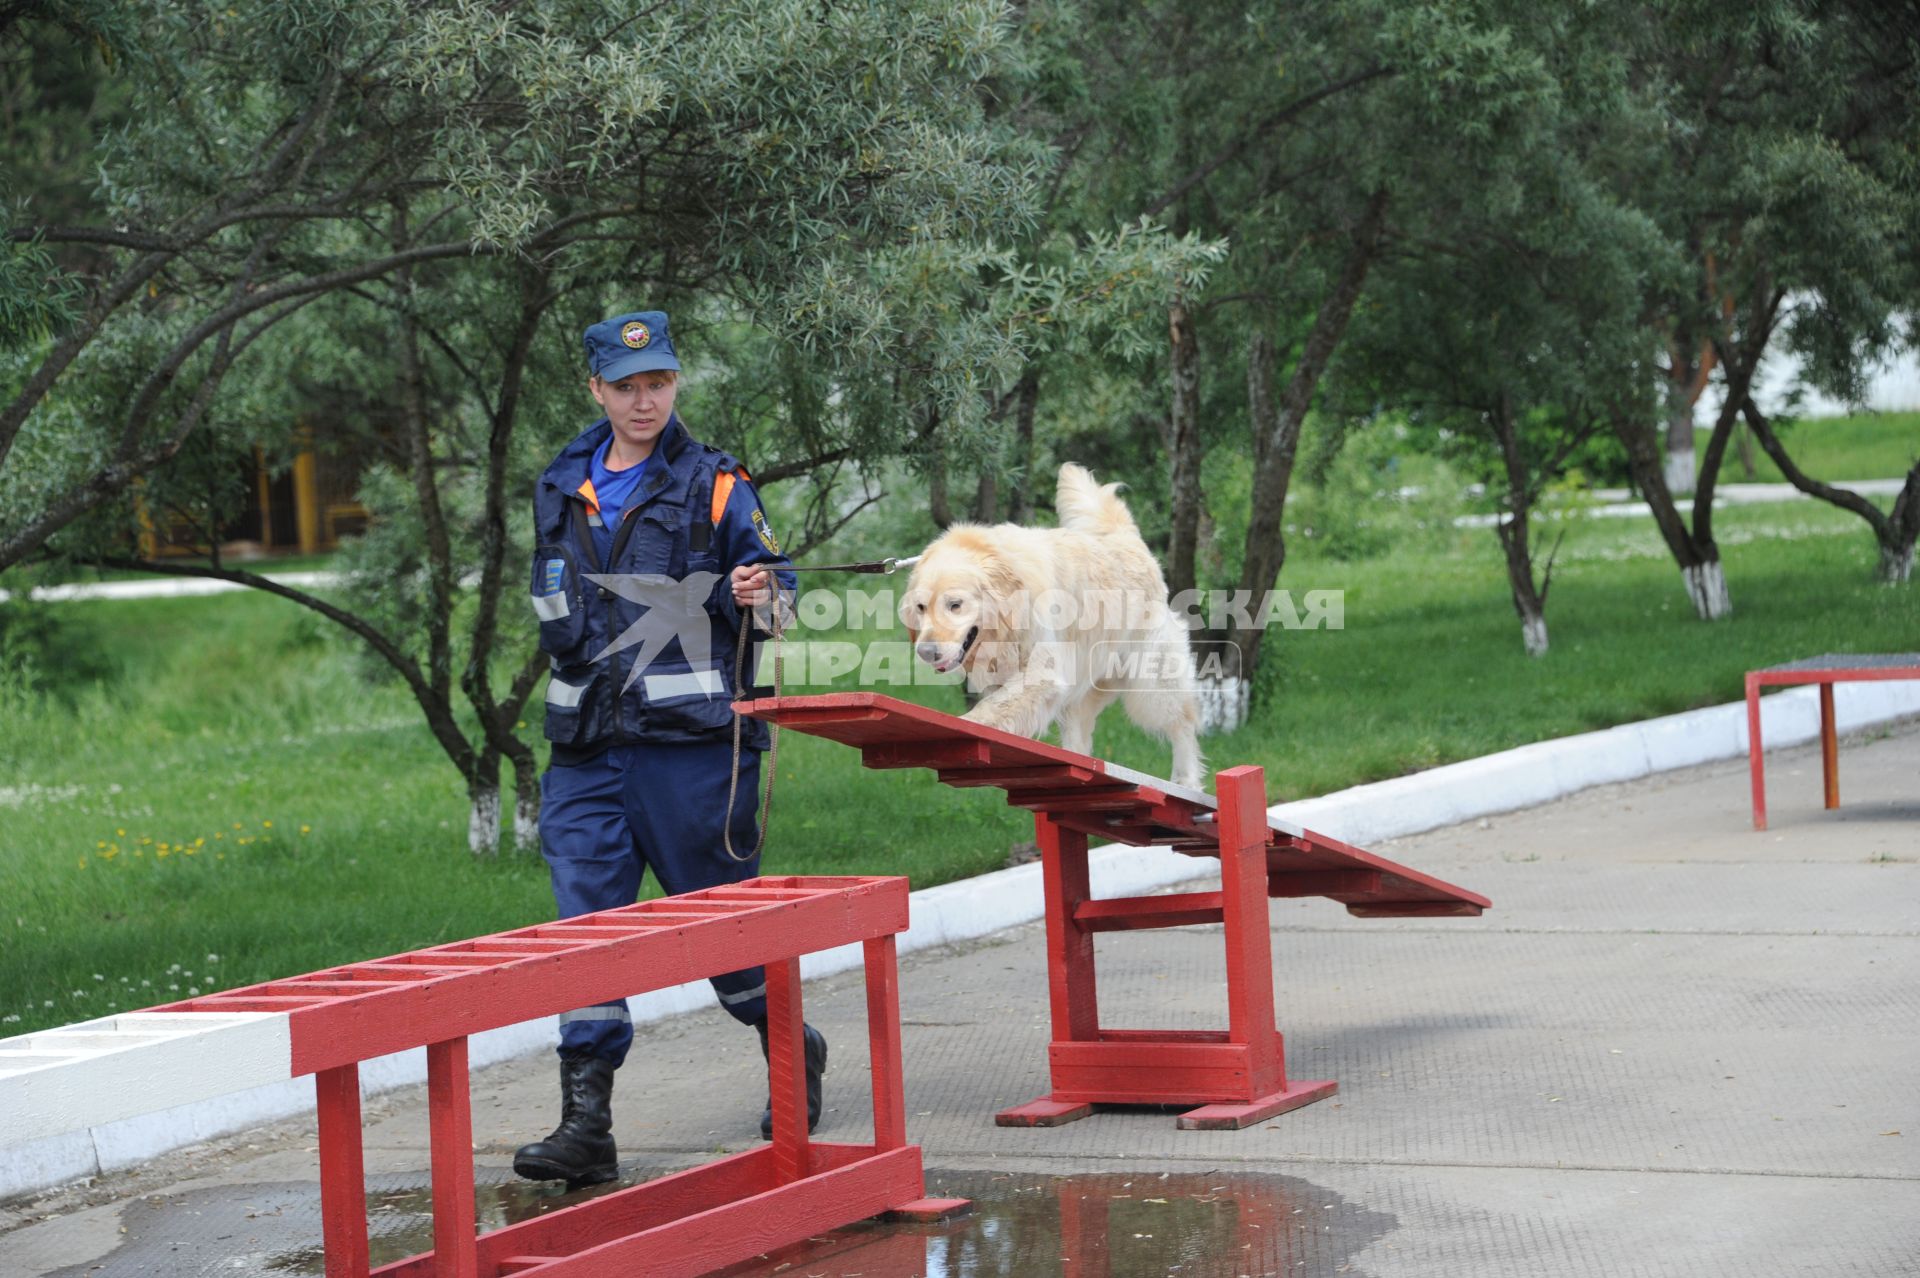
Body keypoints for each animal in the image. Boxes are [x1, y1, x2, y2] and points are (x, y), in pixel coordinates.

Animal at [898, 466, 1198, 786]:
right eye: (920, 607)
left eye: (955, 604)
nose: (926, 652)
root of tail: (1126, 537)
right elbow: (1000, 707)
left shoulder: (1042, 671)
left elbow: (991, 709)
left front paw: (965, 724)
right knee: (1081, 740)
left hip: (1151, 682)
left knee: (1183, 724)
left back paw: (1186, 780)